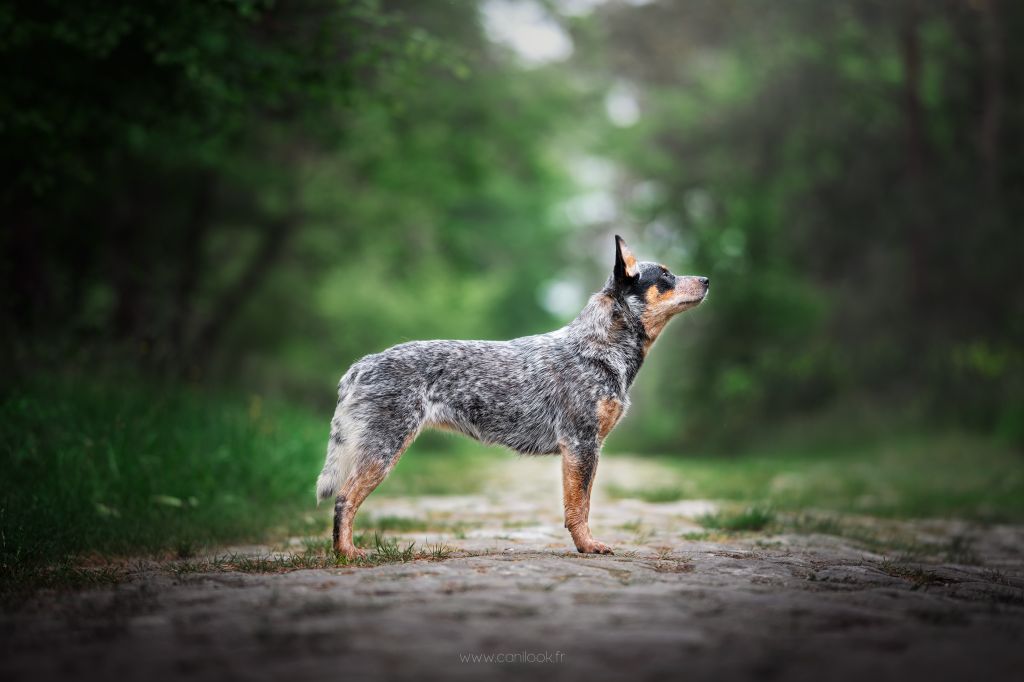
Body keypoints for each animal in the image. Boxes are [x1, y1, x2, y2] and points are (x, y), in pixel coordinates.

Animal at [315, 236, 708, 557]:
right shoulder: (581, 445)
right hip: (383, 448)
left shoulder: (587, 446)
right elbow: (579, 506)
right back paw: (348, 553)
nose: (706, 280)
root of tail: (362, 364)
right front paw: (588, 546)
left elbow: (581, 503)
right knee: (344, 499)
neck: (598, 347)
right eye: (666, 276)